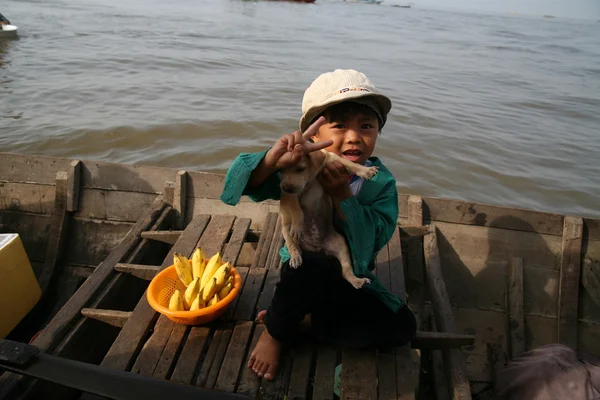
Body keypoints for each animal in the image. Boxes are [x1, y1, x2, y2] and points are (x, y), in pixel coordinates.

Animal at [278, 148, 378, 290]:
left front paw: (366, 170)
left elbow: (350, 163)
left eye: (300, 169)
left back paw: (358, 281)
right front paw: (297, 226)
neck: (311, 177)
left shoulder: (332, 159)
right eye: (280, 170)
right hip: (286, 229)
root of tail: (317, 247)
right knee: (293, 245)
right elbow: (297, 211)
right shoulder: (291, 196)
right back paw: (295, 257)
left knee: (346, 271)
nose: (284, 188)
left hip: (341, 245)